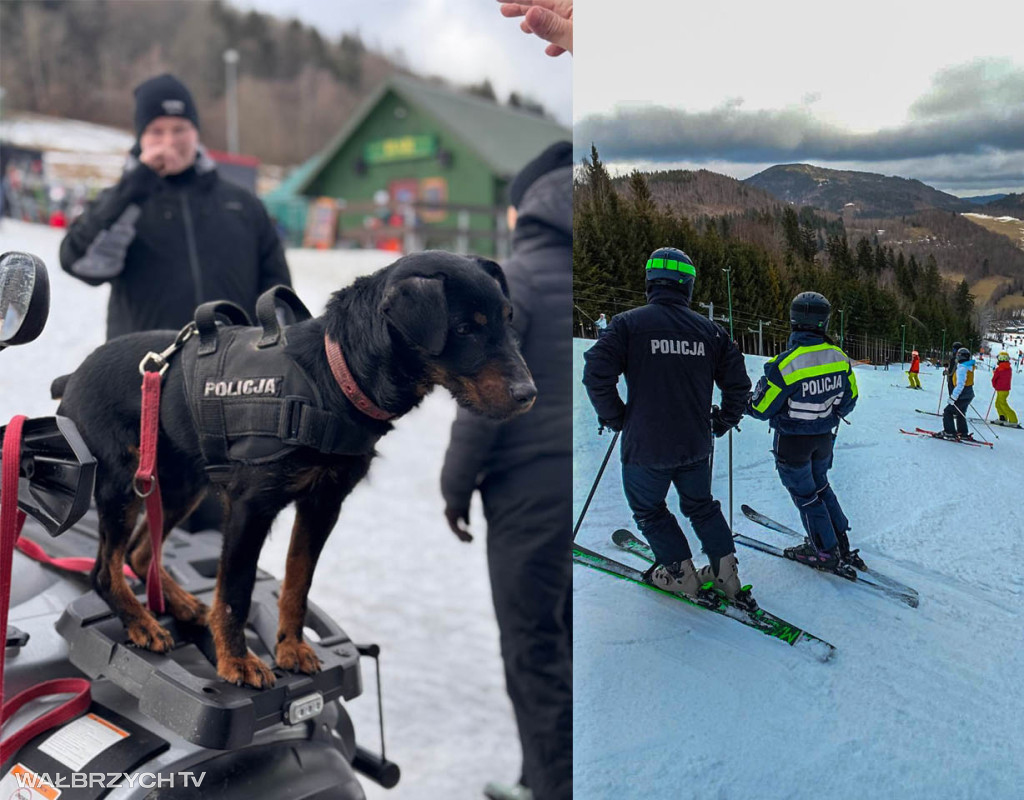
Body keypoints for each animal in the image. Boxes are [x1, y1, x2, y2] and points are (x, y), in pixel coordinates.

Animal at [55, 254, 536, 688]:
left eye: (508, 321)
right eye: (464, 329)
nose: (528, 395)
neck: (335, 379)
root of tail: (72, 377)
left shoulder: (323, 505)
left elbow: (298, 583)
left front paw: (290, 648)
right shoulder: (250, 507)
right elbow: (235, 592)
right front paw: (237, 661)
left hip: (181, 483)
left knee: (138, 553)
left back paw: (178, 603)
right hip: (124, 484)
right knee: (106, 569)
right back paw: (140, 622)